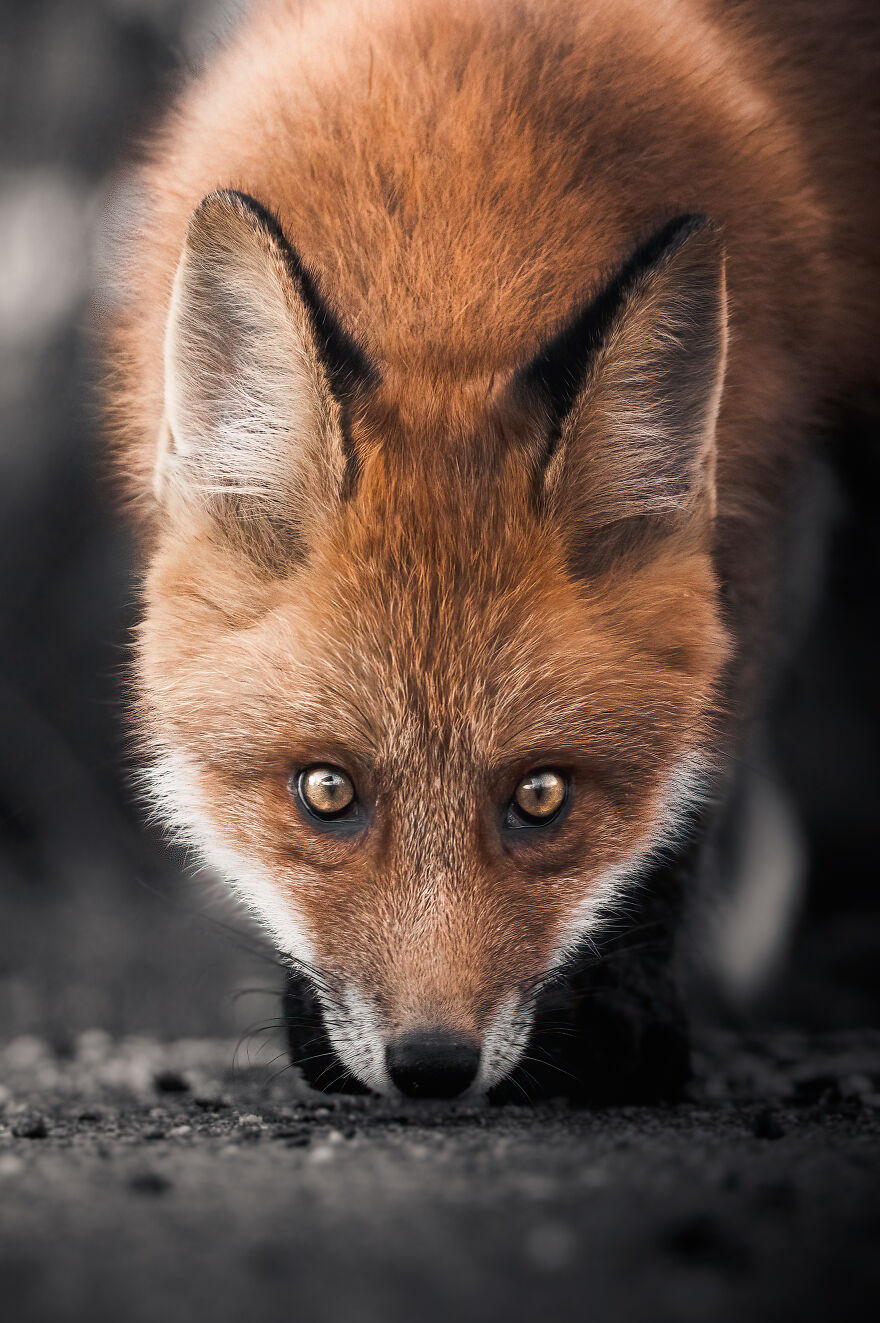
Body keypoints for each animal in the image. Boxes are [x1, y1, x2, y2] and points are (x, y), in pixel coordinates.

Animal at [106, 0, 879, 1101]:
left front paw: (620, 1026)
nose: (432, 1065)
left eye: (541, 797)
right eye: (327, 792)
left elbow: (690, 792)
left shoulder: (761, 514)